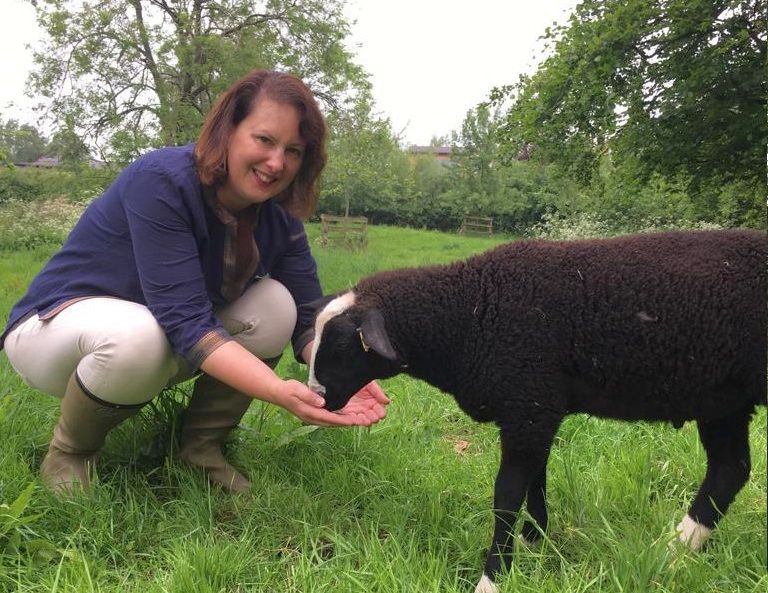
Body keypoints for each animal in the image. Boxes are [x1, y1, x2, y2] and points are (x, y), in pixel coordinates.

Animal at [308, 228, 768, 592]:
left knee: (729, 469)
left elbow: (508, 495)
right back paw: (673, 551)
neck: (467, 316)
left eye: (341, 345)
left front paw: (494, 576)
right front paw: (535, 543)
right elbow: (536, 482)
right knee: (730, 469)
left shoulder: (527, 404)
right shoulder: (537, 408)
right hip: (722, 398)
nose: (317, 397)